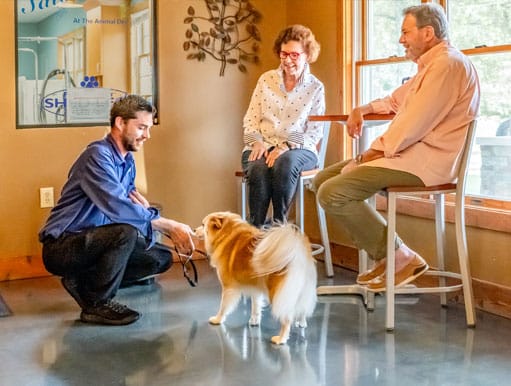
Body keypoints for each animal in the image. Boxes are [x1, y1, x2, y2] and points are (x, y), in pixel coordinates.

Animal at [198, 213, 318, 346]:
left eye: (203, 225)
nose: (194, 230)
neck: (227, 235)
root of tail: (296, 254)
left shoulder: (228, 288)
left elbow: (223, 307)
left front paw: (217, 319)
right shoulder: (256, 287)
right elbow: (255, 306)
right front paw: (254, 321)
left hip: (277, 293)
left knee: (286, 318)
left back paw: (281, 339)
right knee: (301, 308)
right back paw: (302, 323)